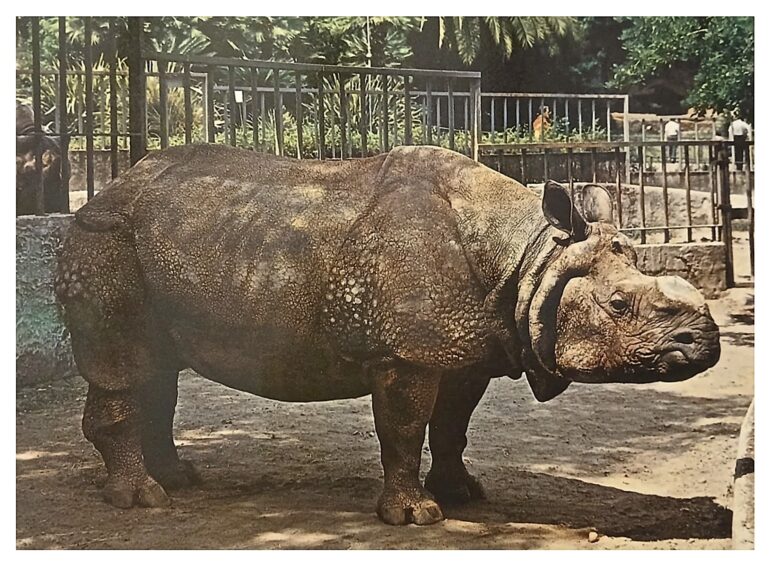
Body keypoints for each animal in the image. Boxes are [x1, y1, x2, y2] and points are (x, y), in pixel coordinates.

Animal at [55, 144, 720, 525]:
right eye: (619, 305)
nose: (706, 344)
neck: (529, 254)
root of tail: (105, 188)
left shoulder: (465, 347)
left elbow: (452, 425)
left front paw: (463, 494)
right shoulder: (408, 351)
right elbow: (404, 427)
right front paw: (416, 516)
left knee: (158, 371)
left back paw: (178, 480)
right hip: (106, 240)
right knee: (127, 365)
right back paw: (145, 500)